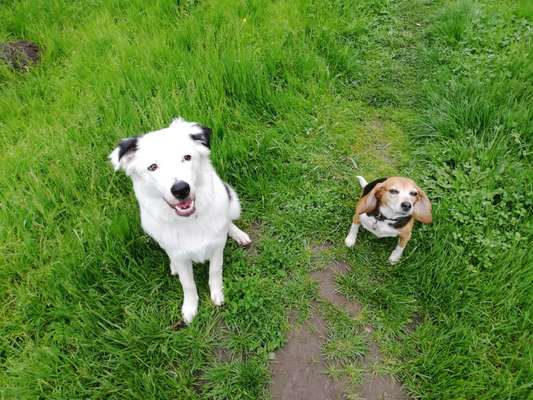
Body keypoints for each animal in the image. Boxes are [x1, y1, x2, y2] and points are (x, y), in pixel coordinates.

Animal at [109, 117, 250, 324]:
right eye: (152, 167)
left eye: (187, 157)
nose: (181, 189)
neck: (189, 221)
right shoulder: (180, 256)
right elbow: (188, 283)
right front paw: (190, 308)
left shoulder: (216, 248)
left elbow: (215, 271)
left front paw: (217, 294)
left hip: (232, 200)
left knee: (228, 221)